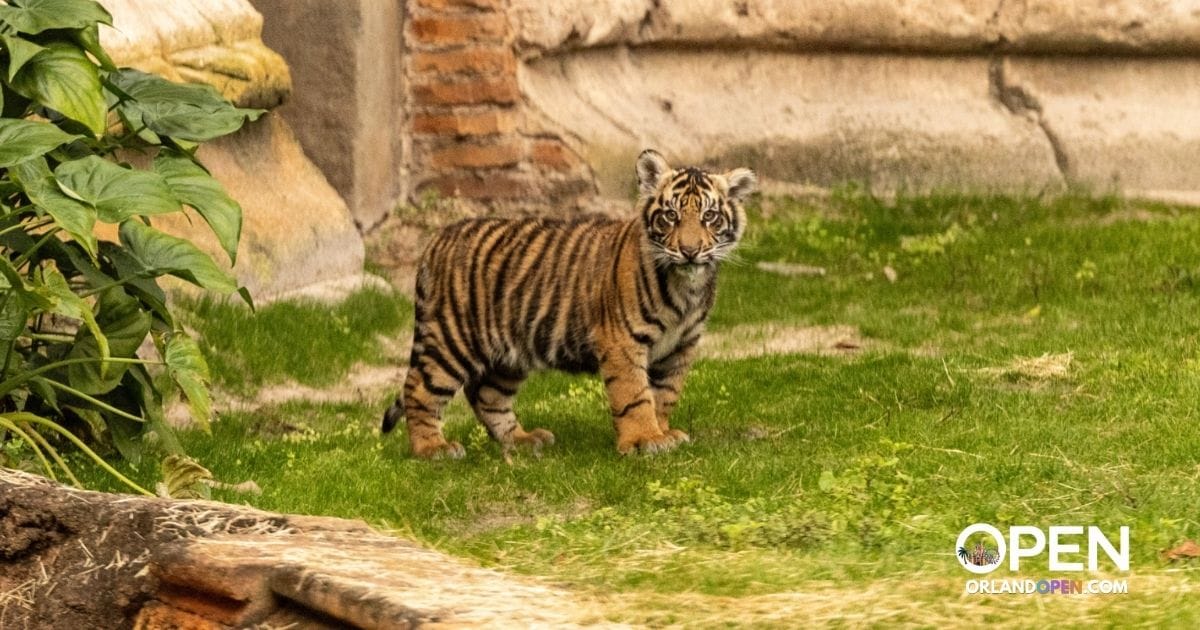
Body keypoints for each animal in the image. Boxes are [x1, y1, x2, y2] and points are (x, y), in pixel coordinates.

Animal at [381, 149, 757, 458]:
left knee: (486, 395)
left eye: (709, 217)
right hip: (453, 339)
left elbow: (664, 395)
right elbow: (635, 395)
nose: (690, 251)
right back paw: (433, 449)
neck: (687, 287)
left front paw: (663, 432)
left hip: (508, 353)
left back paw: (522, 441)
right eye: (670, 216)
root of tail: (437, 239)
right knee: (418, 390)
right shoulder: (622, 341)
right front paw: (644, 440)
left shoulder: (681, 347)